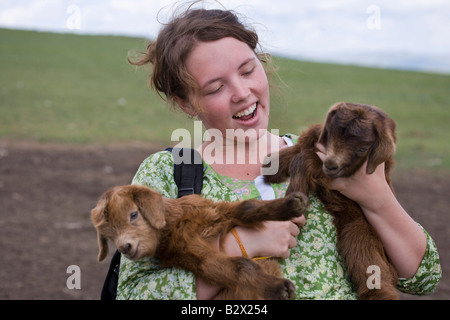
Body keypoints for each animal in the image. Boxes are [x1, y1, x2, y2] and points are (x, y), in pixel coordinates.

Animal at [91, 185, 310, 300]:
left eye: (133, 214)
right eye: (109, 235)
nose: (125, 248)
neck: (175, 223)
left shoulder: (213, 212)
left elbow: (247, 207)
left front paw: (292, 204)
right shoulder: (194, 255)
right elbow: (240, 266)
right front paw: (280, 288)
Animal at [264, 102, 398, 300]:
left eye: (362, 149)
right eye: (332, 135)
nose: (331, 164)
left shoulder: (338, 177)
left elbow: (304, 158)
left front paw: (295, 194)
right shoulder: (319, 142)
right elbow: (304, 143)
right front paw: (272, 166)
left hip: (361, 231)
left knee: (369, 264)